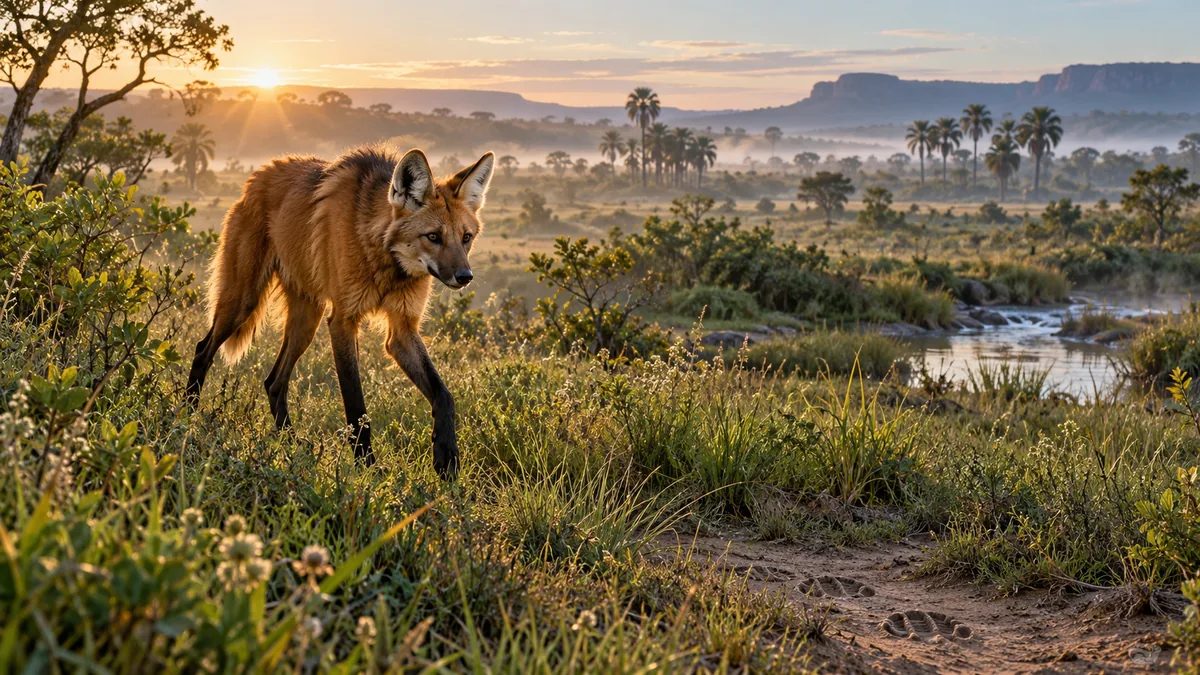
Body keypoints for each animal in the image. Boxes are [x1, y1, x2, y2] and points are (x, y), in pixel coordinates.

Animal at [185, 146, 494, 479]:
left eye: (466, 238)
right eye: (434, 236)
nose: (464, 276)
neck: (385, 262)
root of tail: (258, 175)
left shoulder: (401, 331)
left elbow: (443, 395)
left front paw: (447, 458)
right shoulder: (343, 321)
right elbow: (357, 409)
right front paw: (368, 469)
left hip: (307, 320)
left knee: (274, 382)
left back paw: (293, 448)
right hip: (243, 302)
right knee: (203, 350)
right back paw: (185, 419)